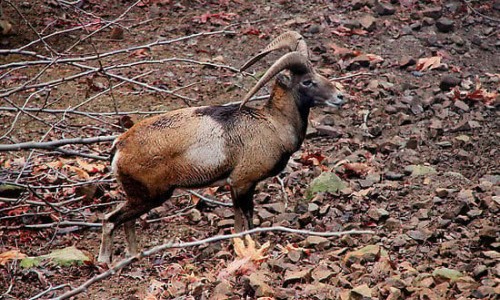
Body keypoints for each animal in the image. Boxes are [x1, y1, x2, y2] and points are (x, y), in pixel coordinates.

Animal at [99, 31, 346, 262]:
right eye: (307, 81)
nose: (340, 96)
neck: (273, 124)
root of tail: (119, 146)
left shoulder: (236, 187)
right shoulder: (243, 184)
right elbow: (247, 221)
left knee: (126, 222)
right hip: (149, 196)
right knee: (110, 220)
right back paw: (105, 262)